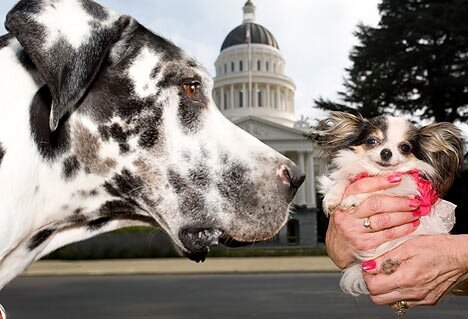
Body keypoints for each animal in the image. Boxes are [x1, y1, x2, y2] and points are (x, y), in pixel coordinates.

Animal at [312, 111, 462, 296]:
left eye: (405, 147)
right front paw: (333, 197)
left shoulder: (406, 188)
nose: (386, 152)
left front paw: (353, 199)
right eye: (372, 141)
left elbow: (379, 190)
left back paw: (390, 265)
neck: (377, 173)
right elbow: (344, 179)